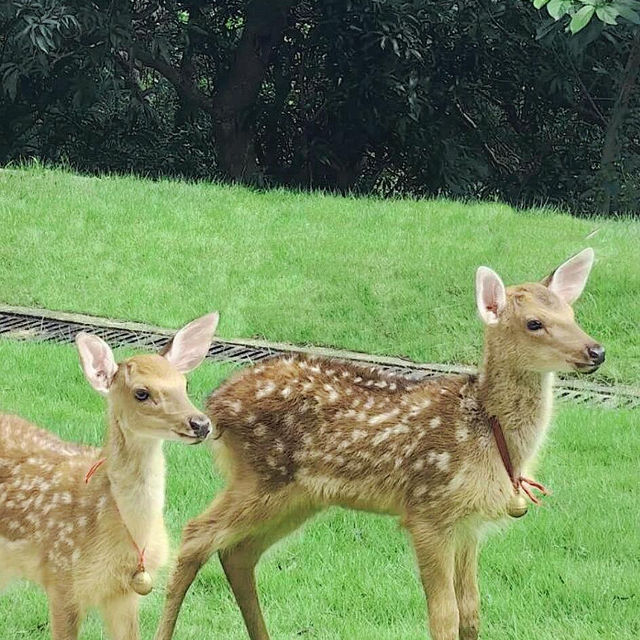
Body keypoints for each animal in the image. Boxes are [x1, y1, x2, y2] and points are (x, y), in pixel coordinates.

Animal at [152, 249, 604, 640]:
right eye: (534, 323)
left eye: (572, 313)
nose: (596, 350)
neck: (486, 433)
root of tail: (216, 404)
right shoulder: (427, 511)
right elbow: (445, 616)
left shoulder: (467, 525)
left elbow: (472, 612)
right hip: (261, 475)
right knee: (195, 535)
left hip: (299, 496)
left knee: (238, 553)